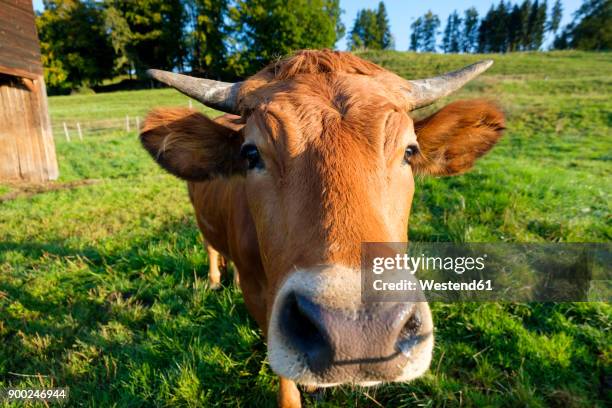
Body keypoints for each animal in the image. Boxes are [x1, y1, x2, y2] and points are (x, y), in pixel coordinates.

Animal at [141, 49, 504, 406]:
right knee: (209, 245)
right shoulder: (260, 301)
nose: (359, 331)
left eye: (410, 151)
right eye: (251, 153)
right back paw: (217, 279)